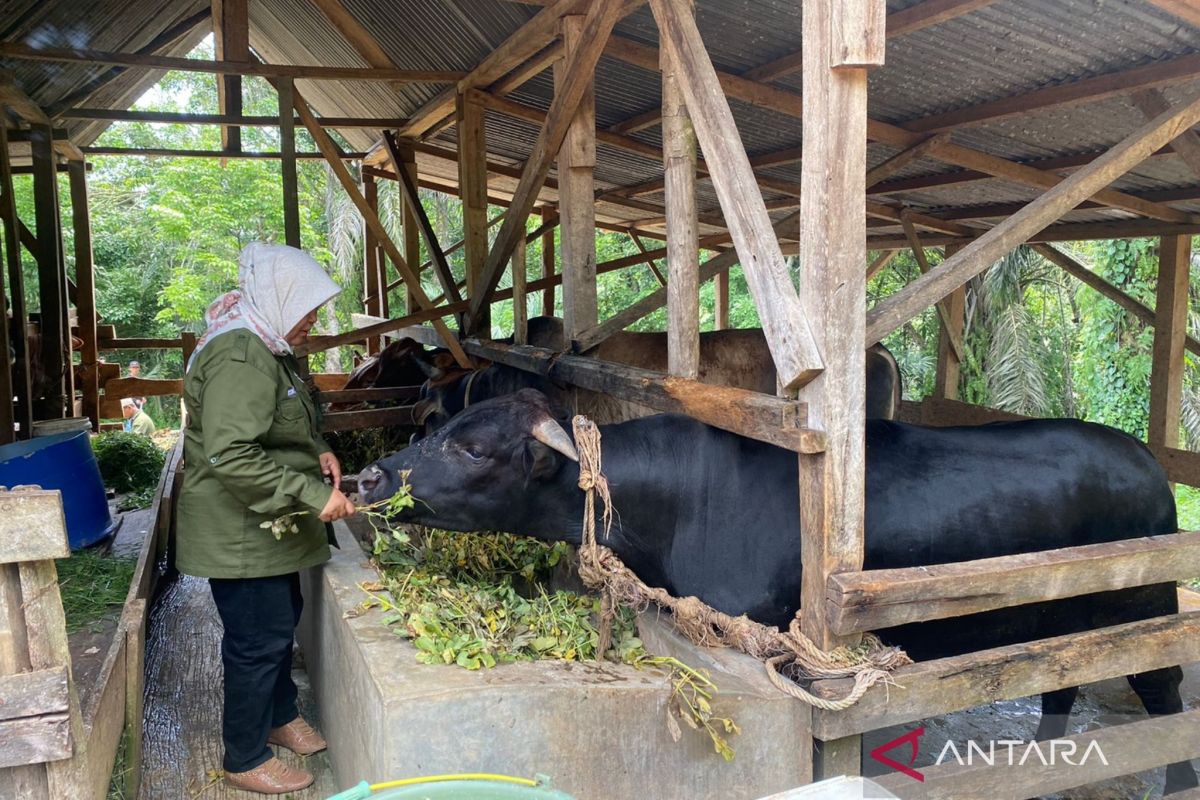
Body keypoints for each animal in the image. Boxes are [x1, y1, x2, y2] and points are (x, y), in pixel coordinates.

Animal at [357, 388, 1200, 796]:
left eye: (473, 446)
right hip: (1062, 620)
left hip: (1145, 609)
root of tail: (1143, 463)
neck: (676, 504)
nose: (368, 475)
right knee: (1061, 685)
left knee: (1162, 695)